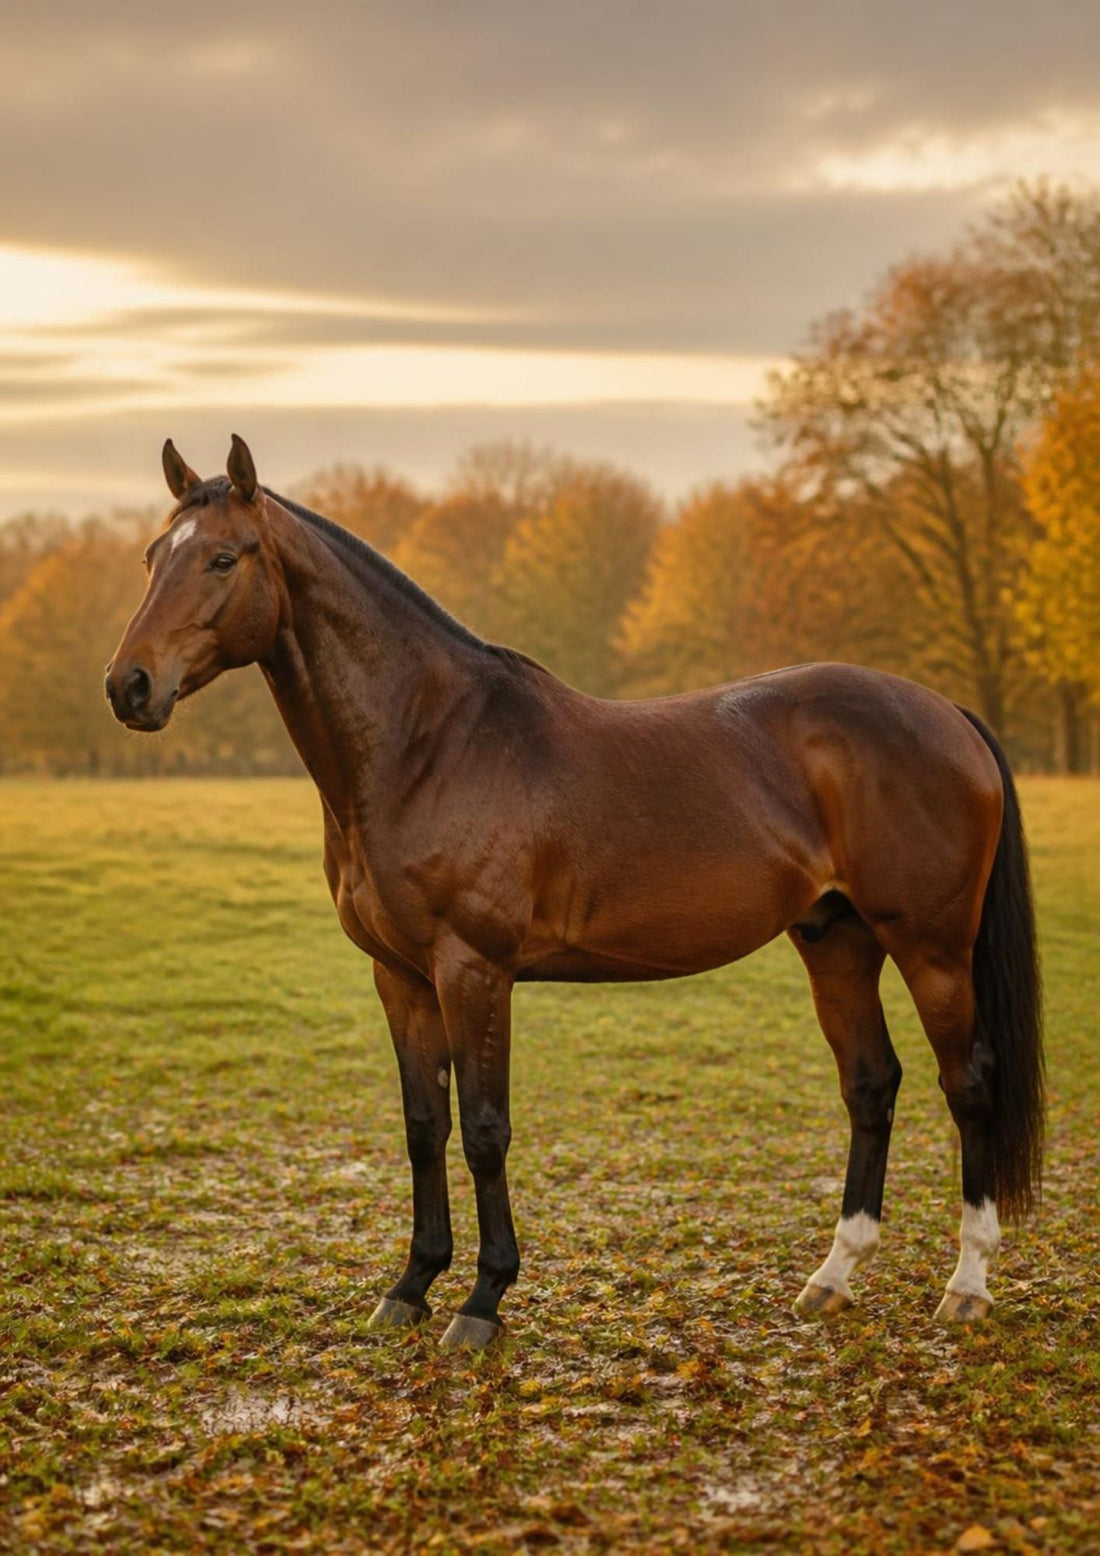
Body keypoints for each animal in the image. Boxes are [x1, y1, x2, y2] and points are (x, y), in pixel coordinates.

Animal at [105, 436, 1043, 1350]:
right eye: (152, 557)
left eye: (223, 558)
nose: (129, 686)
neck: (428, 744)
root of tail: (948, 713)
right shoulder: (400, 977)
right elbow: (423, 1127)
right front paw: (410, 1288)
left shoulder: (473, 971)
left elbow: (486, 1130)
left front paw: (482, 1301)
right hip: (837, 940)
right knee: (871, 1085)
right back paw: (833, 1278)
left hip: (930, 948)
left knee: (967, 1084)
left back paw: (966, 1287)